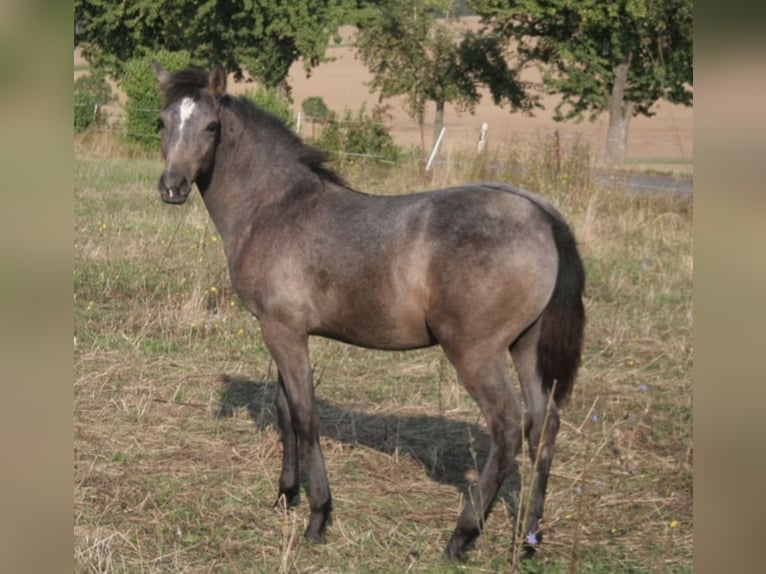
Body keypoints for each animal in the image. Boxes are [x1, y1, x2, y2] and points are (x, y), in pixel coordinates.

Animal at [152, 64, 588, 564]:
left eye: (211, 126)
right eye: (161, 122)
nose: (173, 187)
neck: (274, 207)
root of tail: (542, 215)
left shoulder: (282, 331)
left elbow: (305, 415)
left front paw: (318, 516)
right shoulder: (281, 329)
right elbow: (285, 410)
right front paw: (285, 495)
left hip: (476, 352)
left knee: (508, 430)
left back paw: (462, 536)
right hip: (526, 347)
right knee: (543, 427)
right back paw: (528, 540)